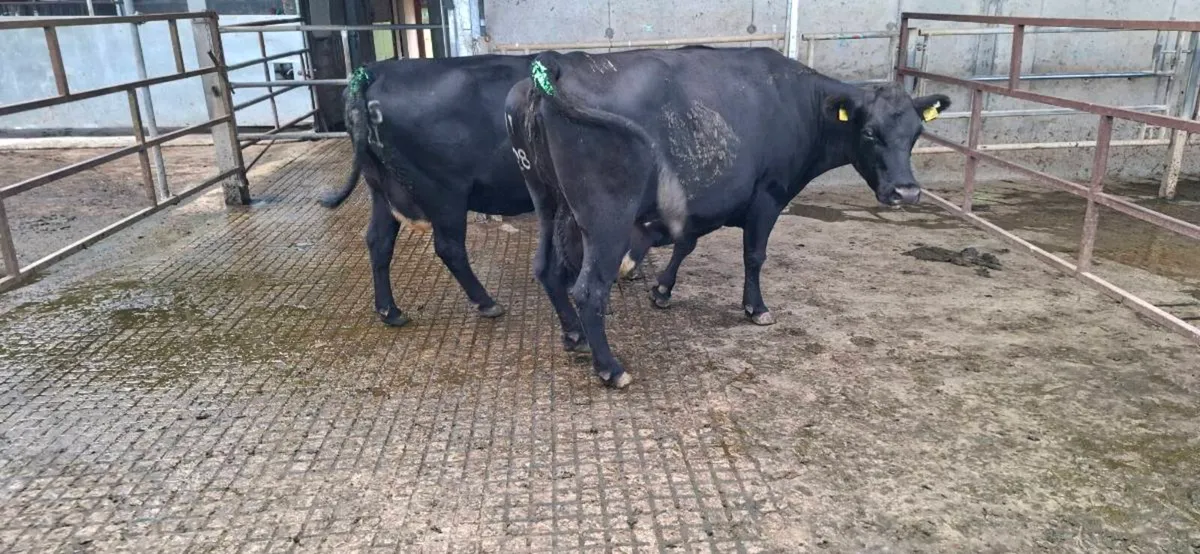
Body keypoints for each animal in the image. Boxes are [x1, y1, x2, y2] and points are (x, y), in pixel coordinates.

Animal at [319, 55, 658, 328]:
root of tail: (373, 71)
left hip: (380, 187)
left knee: (378, 240)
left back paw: (390, 311)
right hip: (443, 193)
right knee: (449, 248)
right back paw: (486, 302)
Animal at [505, 47, 950, 388]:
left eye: (916, 134)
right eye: (870, 132)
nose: (907, 191)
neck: (798, 102)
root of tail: (559, 63)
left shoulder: (707, 202)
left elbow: (686, 243)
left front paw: (662, 290)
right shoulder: (767, 196)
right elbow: (753, 256)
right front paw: (756, 308)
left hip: (547, 201)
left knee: (546, 268)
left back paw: (573, 335)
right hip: (605, 219)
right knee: (588, 290)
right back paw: (611, 368)